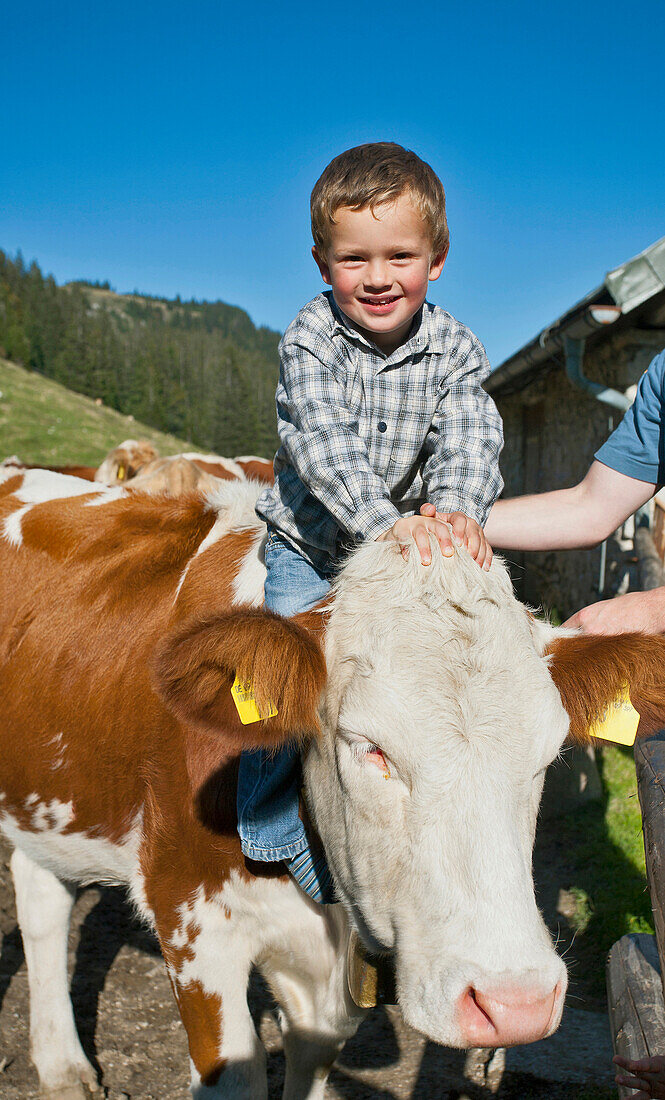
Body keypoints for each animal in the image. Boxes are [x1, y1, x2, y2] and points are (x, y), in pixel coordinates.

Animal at [1, 466, 663, 1100]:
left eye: (548, 755)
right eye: (369, 747)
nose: (515, 1003)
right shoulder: (188, 915)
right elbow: (234, 1073)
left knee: (40, 894)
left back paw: (61, 1066)